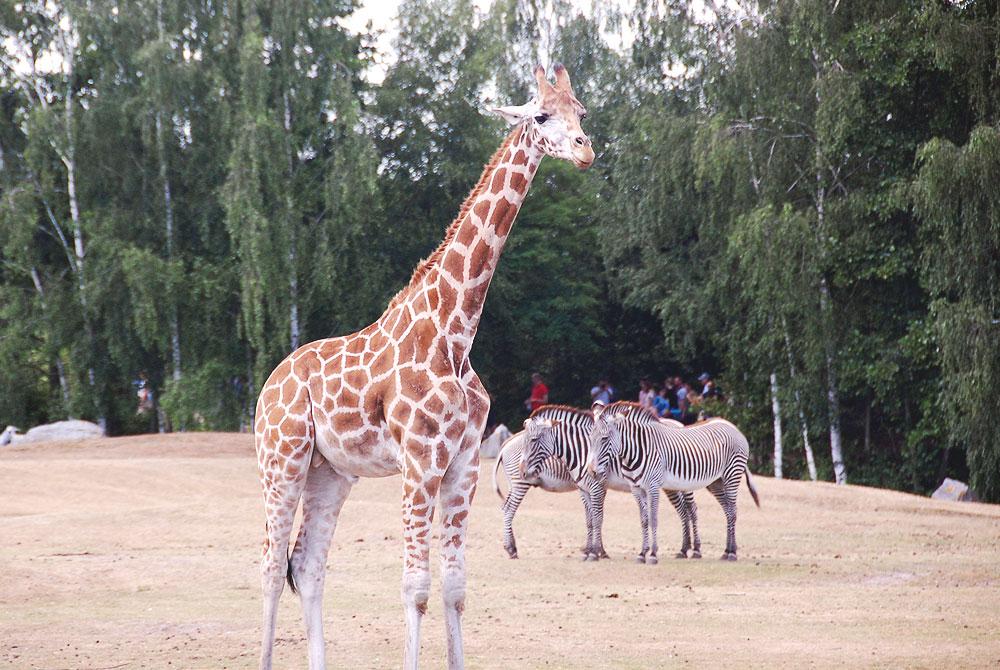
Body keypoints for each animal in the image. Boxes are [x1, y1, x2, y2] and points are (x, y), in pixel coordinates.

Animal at [254, 64, 592, 670]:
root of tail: (268, 386)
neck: (453, 337)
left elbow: (455, 587)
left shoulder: (463, 465)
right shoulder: (419, 462)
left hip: (329, 471)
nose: (585, 151)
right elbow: (415, 588)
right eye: (540, 115)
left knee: (307, 566)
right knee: (271, 565)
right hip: (281, 459)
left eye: (581, 111)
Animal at [504, 406, 700, 564]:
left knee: (690, 509)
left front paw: (595, 552)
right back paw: (685, 549)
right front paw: (591, 551)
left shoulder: (596, 488)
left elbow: (597, 519)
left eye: (534, 440)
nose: (523, 472)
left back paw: (695, 549)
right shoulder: (584, 489)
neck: (580, 451)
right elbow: (590, 520)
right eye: (527, 441)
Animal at [584, 404, 756, 560]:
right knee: (728, 510)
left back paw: (732, 553)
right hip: (717, 482)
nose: (591, 471)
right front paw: (642, 553)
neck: (636, 452)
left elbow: (653, 519)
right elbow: (644, 520)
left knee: (732, 511)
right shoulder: (636, 488)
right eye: (590, 438)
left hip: (732, 475)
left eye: (605, 438)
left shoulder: (653, 487)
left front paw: (653, 554)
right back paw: (726, 551)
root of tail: (733, 427)